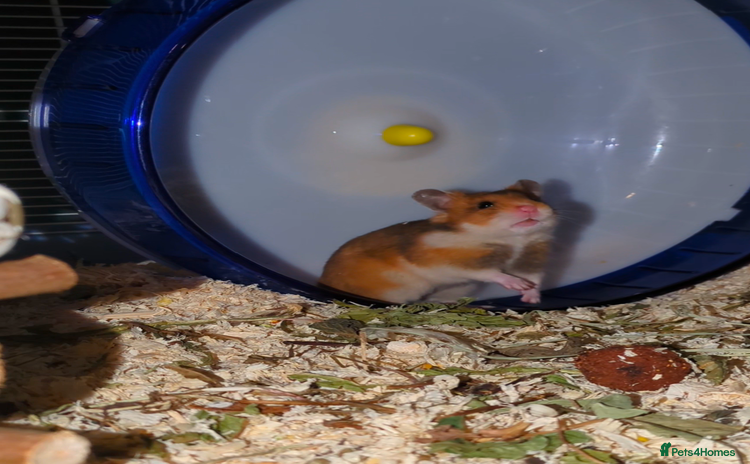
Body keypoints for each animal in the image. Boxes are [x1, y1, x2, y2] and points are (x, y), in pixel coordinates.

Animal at [318, 179, 557, 304]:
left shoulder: (531, 259)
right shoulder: (454, 263)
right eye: (485, 205)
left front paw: (531, 299)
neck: (513, 241)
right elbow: (492, 273)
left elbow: (534, 280)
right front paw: (517, 285)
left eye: (533, 199)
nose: (530, 209)